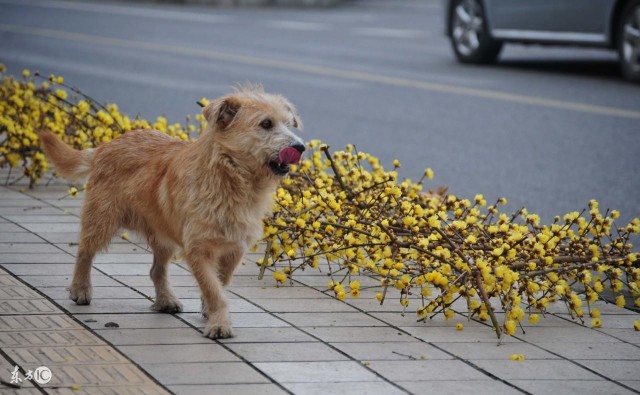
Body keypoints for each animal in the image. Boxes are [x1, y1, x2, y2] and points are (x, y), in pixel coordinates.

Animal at [40, 85, 304, 338]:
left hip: (163, 237)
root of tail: (106, 146)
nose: (299, 147)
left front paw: (209, 309)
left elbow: (220, 281)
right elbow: (214, 289)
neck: (231, 177)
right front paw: (219, 324)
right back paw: (80, 288)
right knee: (85, 251)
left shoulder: (234, 248)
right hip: (102, 219)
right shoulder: (198, 250)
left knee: (156, 271)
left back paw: (165, 300)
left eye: (289, 124)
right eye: (266, 123)